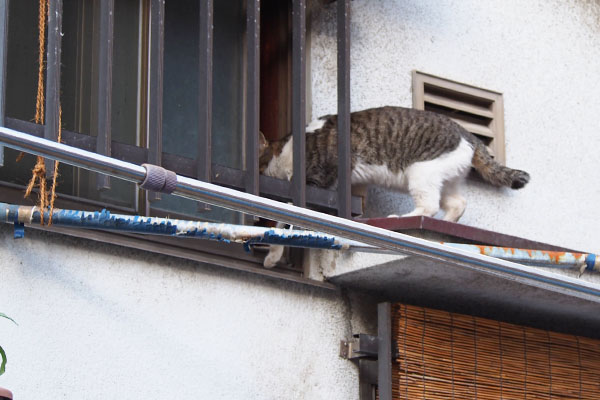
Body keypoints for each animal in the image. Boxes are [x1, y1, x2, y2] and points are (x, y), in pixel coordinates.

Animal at [258, 106, 528, 268]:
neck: (288, 150)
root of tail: (469, 134)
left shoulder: (317, 183)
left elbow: (284, 219)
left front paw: (272, 255)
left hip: (421, 173)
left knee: (429, 206)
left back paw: (402, 217)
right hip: (445, 179)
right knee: (457, 203)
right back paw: (446, 224)